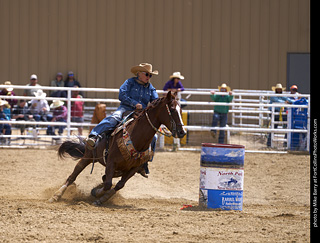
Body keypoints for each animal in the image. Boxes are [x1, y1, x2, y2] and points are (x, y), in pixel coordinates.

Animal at [48, 91, 186, 205]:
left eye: (180, 110)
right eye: (172, 109)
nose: (182, 132)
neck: (136, 138)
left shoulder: (133, 169)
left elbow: (119, 185)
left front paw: (101, 198)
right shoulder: (111, 162)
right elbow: (108, 184)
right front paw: (96, 193)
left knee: (106, 178)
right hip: (88, 156)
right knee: (74, 174)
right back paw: (56, 195)